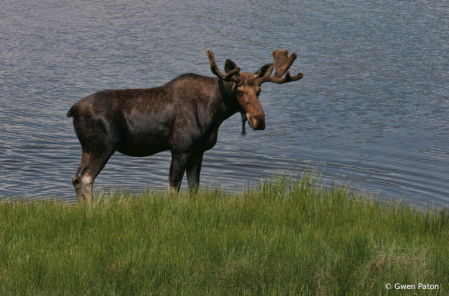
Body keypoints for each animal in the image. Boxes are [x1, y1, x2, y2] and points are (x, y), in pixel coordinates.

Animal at [66, 49, 302, 202]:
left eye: (260, 91)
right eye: (241, 91)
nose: (259, 120)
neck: (216, 112)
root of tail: (72, 110)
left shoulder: (198, 151)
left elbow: (194, 188)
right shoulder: (180, 148)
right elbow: (173, 189)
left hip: (87, 148)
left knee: (76, 177)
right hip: (103, 147)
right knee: (86, 178)